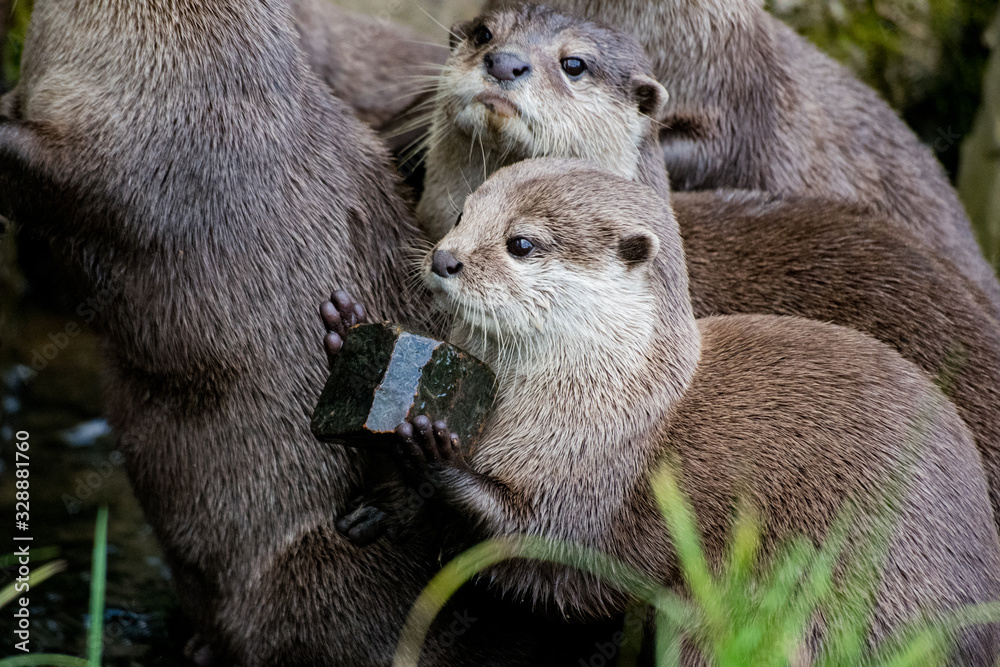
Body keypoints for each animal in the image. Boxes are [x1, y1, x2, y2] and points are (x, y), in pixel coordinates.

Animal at [328, 159, 1000, 664]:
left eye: (521, 243)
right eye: (463, 214)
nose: (444, 259)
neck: (606, 395)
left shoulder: (591, 473)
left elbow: (537, 548)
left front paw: (431, 451)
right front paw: (346, 342)